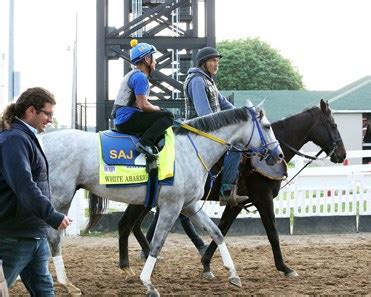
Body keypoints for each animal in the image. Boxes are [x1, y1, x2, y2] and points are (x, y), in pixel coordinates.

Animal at [117, 99, 348, 278]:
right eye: (333, 124)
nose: (342, 154)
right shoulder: (263, 198)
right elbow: (272, 232)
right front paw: (285, 267)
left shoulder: (236, 203)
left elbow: (223, 228)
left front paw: (206, 263)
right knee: (128, 224)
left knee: (135, 225)